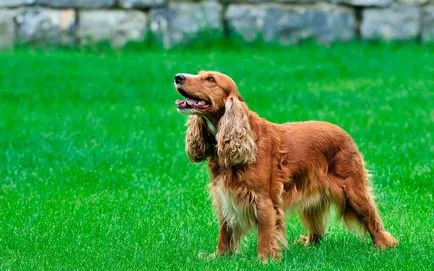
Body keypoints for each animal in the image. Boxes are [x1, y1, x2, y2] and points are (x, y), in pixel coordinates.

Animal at [173, 70, 396, 262]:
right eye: (199, 73)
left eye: (210, 79)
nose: (178, 77)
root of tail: (344, 132)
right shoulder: (225, 196)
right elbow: (225, 230)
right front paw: (219, 256)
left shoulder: (262, 199)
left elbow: (265, 231)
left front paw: (264, 260)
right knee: (317, 228)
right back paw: (308, 243)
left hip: (352, 189)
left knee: (372, 218)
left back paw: (383, 245)